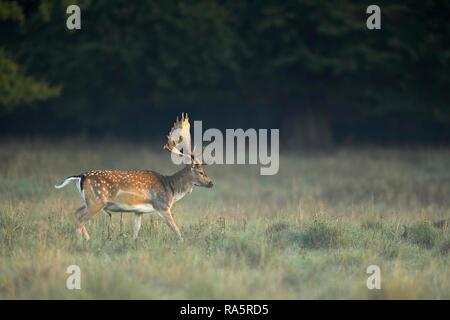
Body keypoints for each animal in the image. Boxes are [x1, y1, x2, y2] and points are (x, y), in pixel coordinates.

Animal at [54, 114, 213, 241]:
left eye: (204, 170)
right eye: (200, 172)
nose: (211, 183)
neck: (171, 189)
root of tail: (80, 177)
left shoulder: (138, 211)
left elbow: (136, 231)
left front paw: (133, 243)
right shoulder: (162, 206)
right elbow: (176, 229)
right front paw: (183, 243)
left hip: (88, 201)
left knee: (75, 213)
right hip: (97, 201)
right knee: (80, 219)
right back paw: (84, 240)